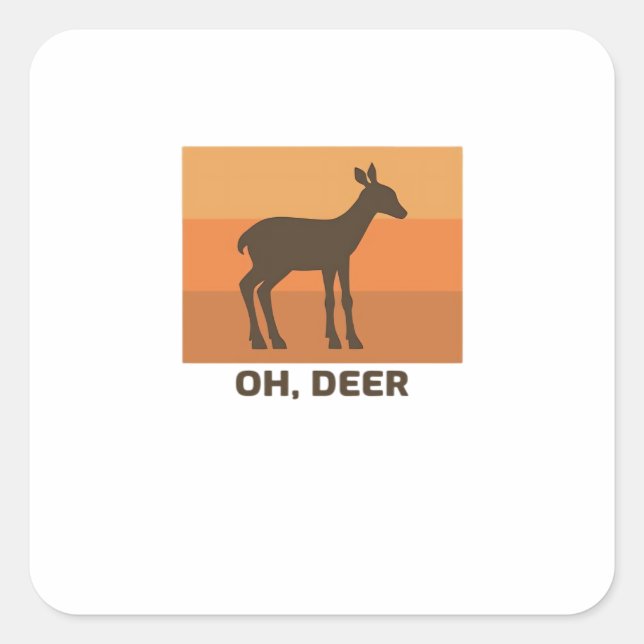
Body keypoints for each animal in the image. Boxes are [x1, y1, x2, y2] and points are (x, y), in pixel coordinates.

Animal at [237, 163, 407, 350]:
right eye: (385, 194)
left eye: (392, 192)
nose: (403, 212)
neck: (345, 230)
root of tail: (245, 238)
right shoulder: (333, 262)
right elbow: (333, 299)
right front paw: (341, 341)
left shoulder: (335, 263)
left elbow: (341, 299)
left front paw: (340, 337)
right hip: (271, 264)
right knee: (250, 285)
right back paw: (265, 341)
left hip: (273, 266)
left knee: (257, 288)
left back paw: (264, 338)